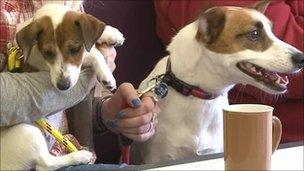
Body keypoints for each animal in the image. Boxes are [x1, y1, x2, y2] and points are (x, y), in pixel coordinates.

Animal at [1, 3, 124, 170]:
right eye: (47, 52)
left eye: (74, 49)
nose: (63, 86)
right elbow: (93, 54)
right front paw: (106, 75)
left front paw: (112, 33)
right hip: (27, 132)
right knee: (47, 163)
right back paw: (80, 156)